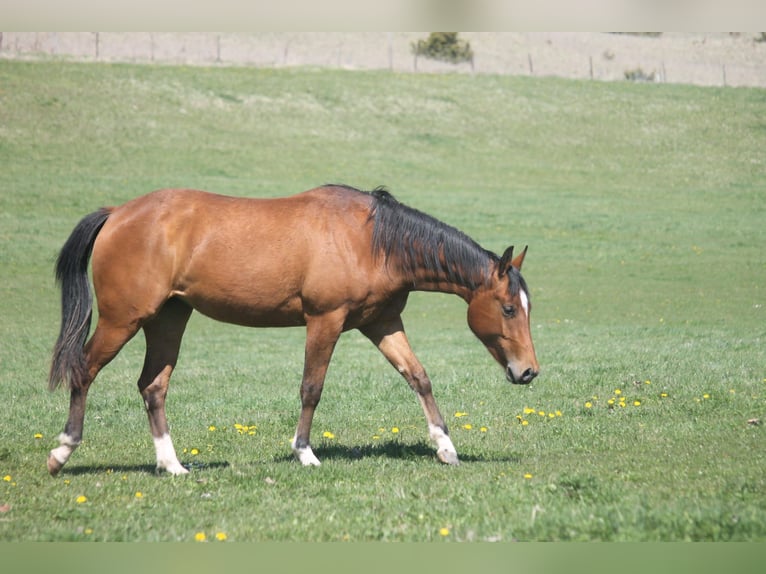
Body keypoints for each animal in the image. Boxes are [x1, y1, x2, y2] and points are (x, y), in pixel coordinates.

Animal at [47, 185, 538, 475]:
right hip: (123, 320)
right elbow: (311, 388)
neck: (370, 239)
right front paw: (305, 451)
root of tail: (117, 213)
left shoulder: (381, 322)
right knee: (84, 370)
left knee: (152, 387)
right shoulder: (326, 320)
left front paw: (446, 447)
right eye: (508, 308)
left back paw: (172, 465)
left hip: (169, 318)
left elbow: (419, 377)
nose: (528, 371)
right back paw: (62, 451)